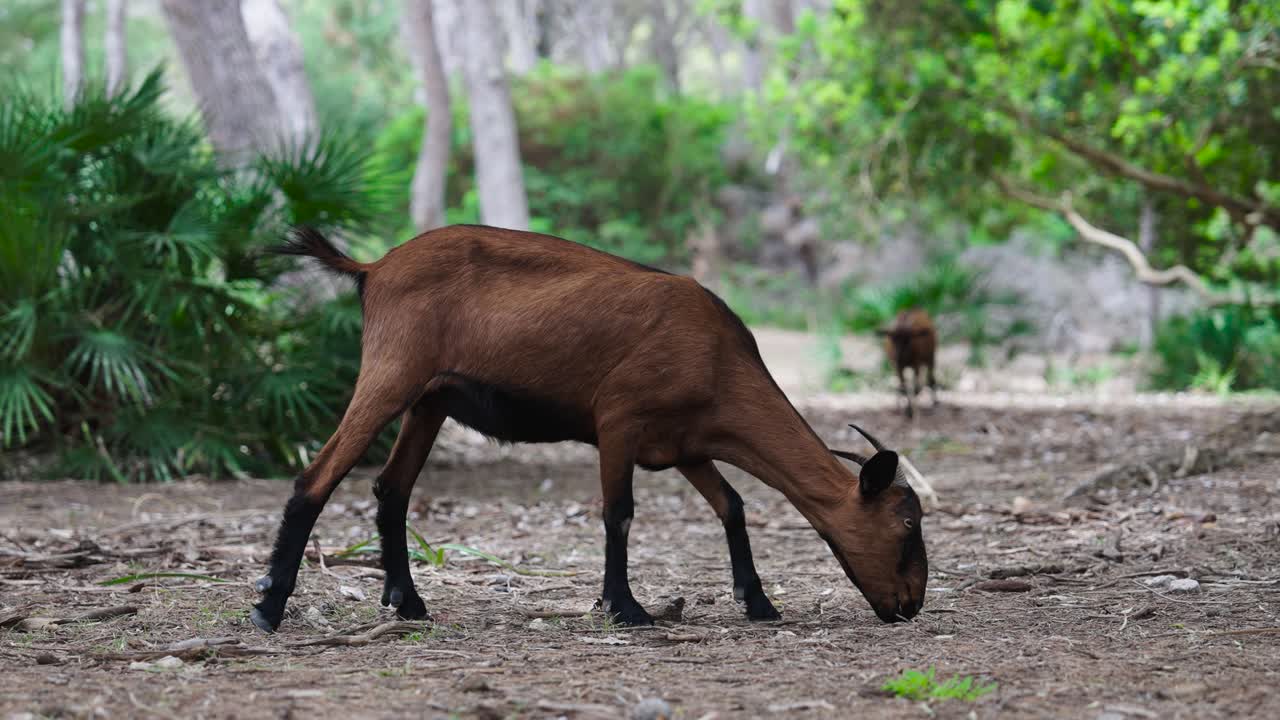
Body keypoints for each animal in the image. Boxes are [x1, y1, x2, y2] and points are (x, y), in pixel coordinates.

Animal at [250, 225, 927, 633]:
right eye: (905, 524)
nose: (910, 604)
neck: (717, 357)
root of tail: (374, 266)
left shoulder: (686, 445)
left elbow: (732, 506)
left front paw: (757, 602)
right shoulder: (619, 419)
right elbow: (618, 512)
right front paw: (625, 607)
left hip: (430, 401)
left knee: (391, 488)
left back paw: (408, 602)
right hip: (391, 374)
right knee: (316, 477)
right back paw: (268, 607)